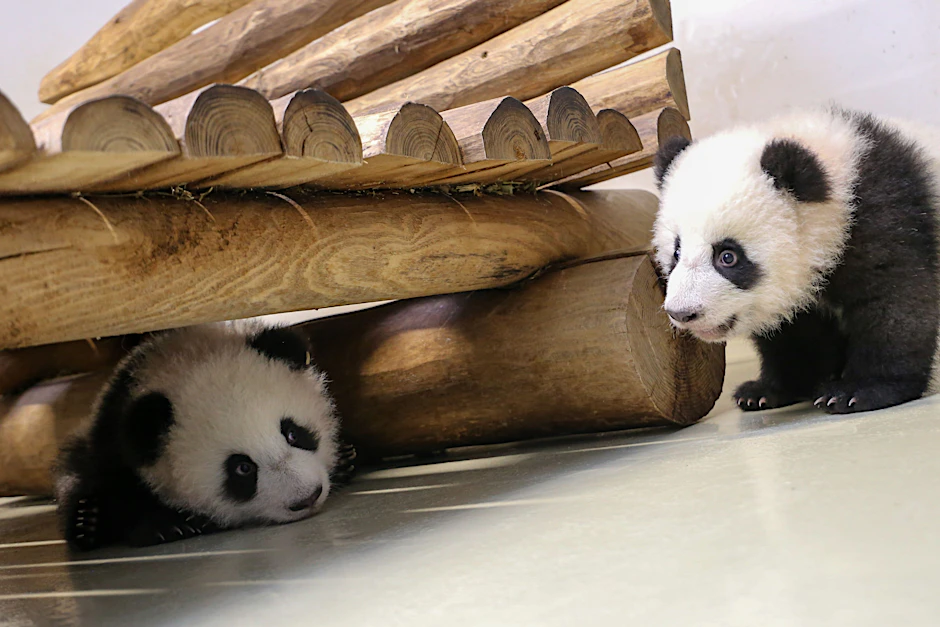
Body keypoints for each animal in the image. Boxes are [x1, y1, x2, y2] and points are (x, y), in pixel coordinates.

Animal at [54, 323, 356, 551]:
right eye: (242, 468)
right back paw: (87, 519)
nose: (307, 497)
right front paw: (167, 526)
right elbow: (120, 488)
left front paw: (345, 458)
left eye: (293, 433)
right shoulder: (116, 441)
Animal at [652, 106, 940, 414]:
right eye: (676, 253)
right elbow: (794, 333)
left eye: (727, 256)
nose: (683, 313)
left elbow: (895, 300)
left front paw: (858, 390)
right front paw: (767, 391)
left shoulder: (888, 216)